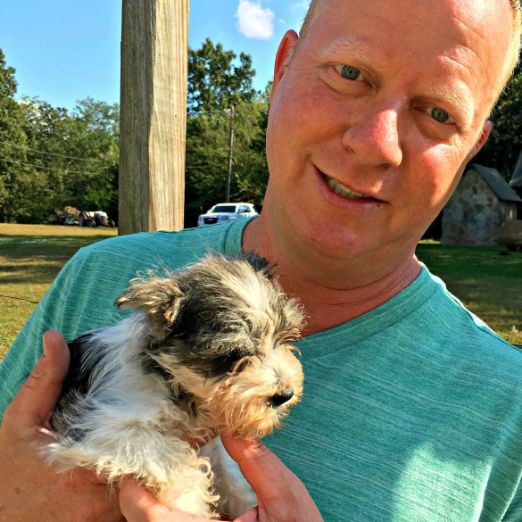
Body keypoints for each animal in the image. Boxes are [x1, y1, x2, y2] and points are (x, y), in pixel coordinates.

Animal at [47, 252, 304, 516]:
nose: (285, 393)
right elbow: (171, 461)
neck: (167, 379)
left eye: (284, 338)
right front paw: (193, 508)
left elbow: (226, 470)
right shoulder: (100, 425)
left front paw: (243, 500)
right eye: (233, 355)